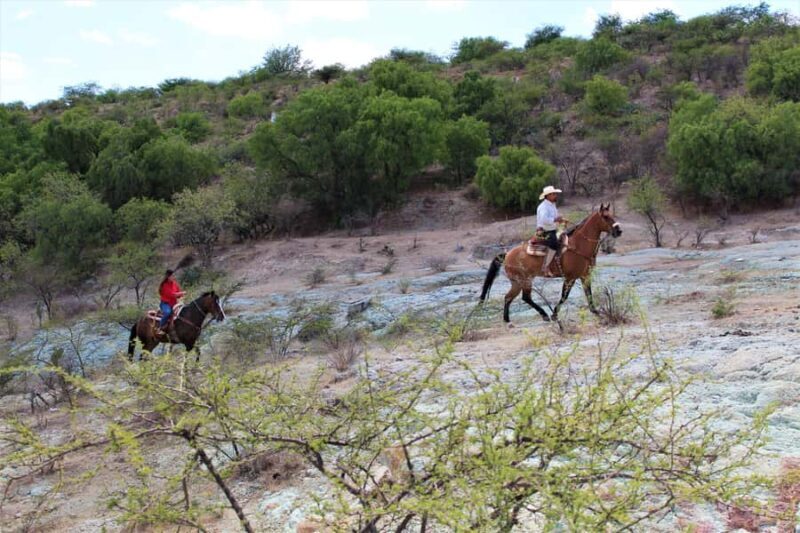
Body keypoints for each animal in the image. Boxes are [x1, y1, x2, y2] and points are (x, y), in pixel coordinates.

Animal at [479, 204, 622, 323]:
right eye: (605, 217)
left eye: (612, 215)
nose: (619, 231)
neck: (578, 246)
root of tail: (507, 254)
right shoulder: (570, 278)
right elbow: (564, 296)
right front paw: (554, 314)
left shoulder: (585, 275)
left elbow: (589, 294)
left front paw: (596, 312)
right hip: (522, 281)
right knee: (521, 297)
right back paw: (541, 315)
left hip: (519, 282)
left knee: (512, 297)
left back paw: (510, 319)